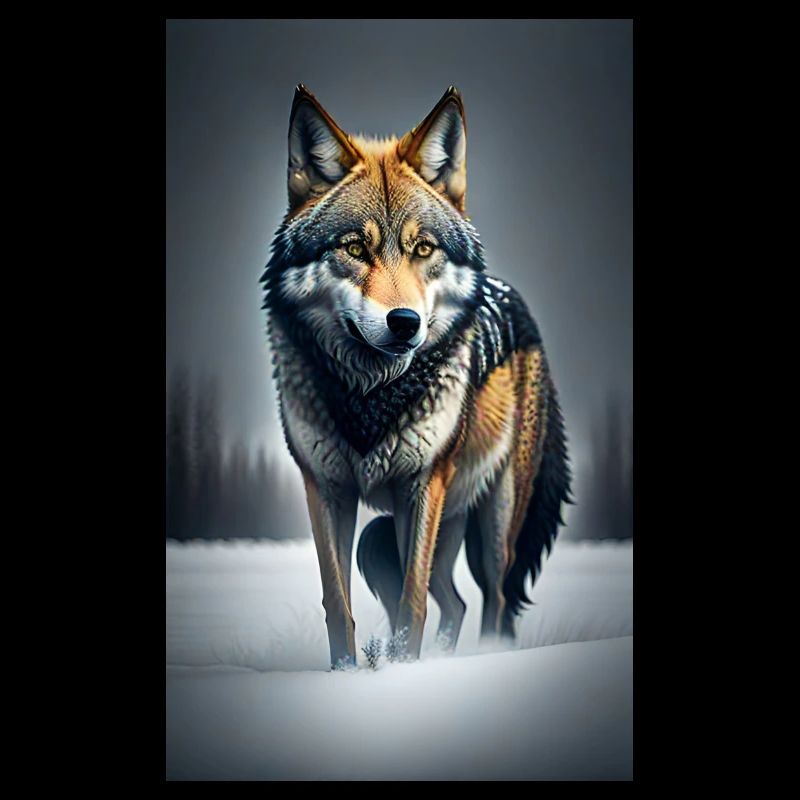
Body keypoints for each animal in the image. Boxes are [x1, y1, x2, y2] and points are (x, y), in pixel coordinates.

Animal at [262, 85, 572, 668]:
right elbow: (338, 604)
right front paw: (347, 674)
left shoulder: (420, 486)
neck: (371, 395)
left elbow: (412, 604)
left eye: (422, 248)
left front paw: (403, 673)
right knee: (455, 601)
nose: (404, 323)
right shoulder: (325, 488)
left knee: (494, 600)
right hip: (394, 535)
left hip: (493, 524)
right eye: (354, 248)